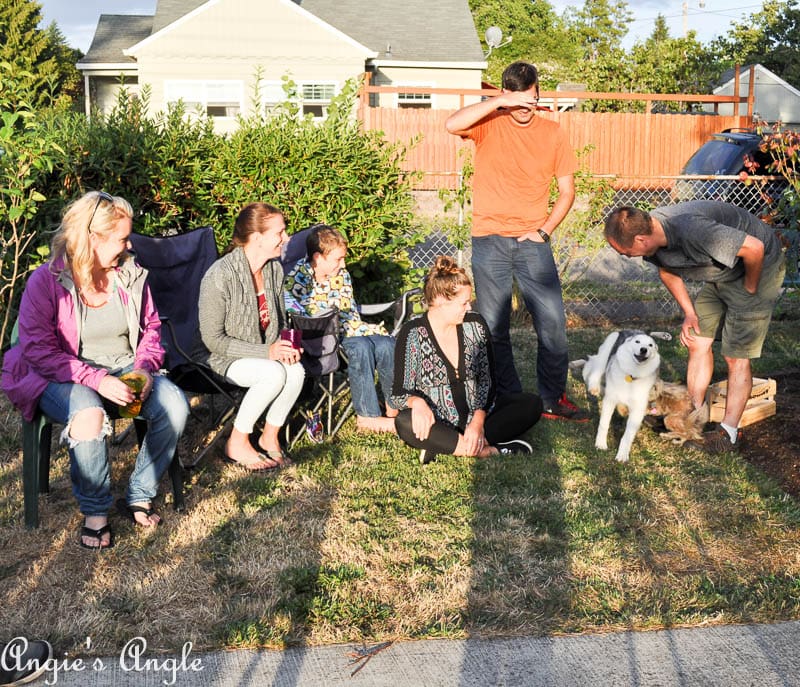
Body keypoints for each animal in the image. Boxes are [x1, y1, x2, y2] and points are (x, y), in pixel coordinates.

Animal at [584, 330, 660, 462]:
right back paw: (594, 388)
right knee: (596, 371)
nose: (643, 349)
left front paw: (622, 455)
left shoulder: (637, 411)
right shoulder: (609, 401)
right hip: (605, 352)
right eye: (637, 341)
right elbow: (604, 424)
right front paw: (600, 444)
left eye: (650, 345)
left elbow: (627, 436)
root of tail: (627, 329)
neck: (632, 374)